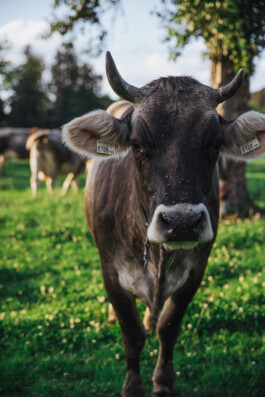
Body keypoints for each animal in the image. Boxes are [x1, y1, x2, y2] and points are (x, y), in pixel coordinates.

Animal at [61, 51, 264, 394]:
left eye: (215, 145)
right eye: (137, 145)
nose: (182, 222)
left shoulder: (195, 272)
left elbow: (168, 328)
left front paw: (163, 382)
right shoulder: (111, 273)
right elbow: (132, 335)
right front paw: (132, 386)